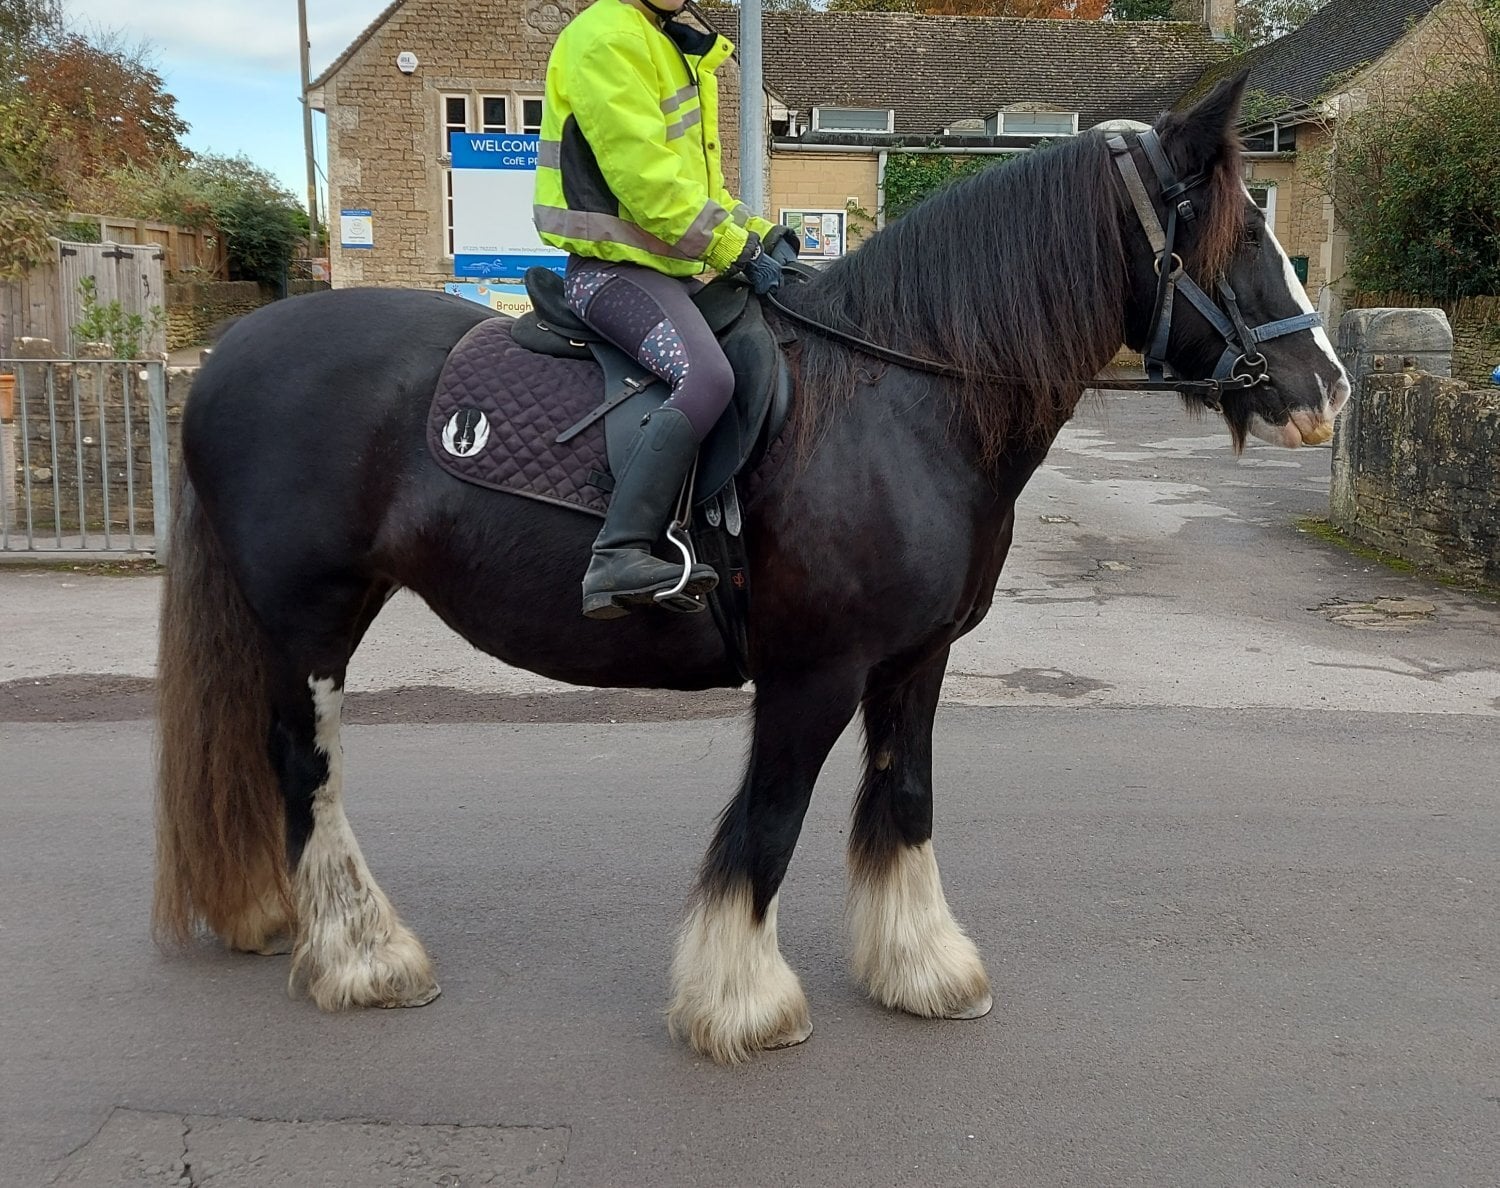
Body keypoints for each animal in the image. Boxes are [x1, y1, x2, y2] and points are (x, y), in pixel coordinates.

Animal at [152, 74, 1349, 1064]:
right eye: (1234, 231)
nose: (1328, 389)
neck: (903, 401)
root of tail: (229, 358)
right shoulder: (814, 673)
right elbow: (769, 823)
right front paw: (742, 1002)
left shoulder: (916, 662)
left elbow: (905, 799)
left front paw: (920, 967)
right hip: (312, 619)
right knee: (305, 766)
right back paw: (362, 956)